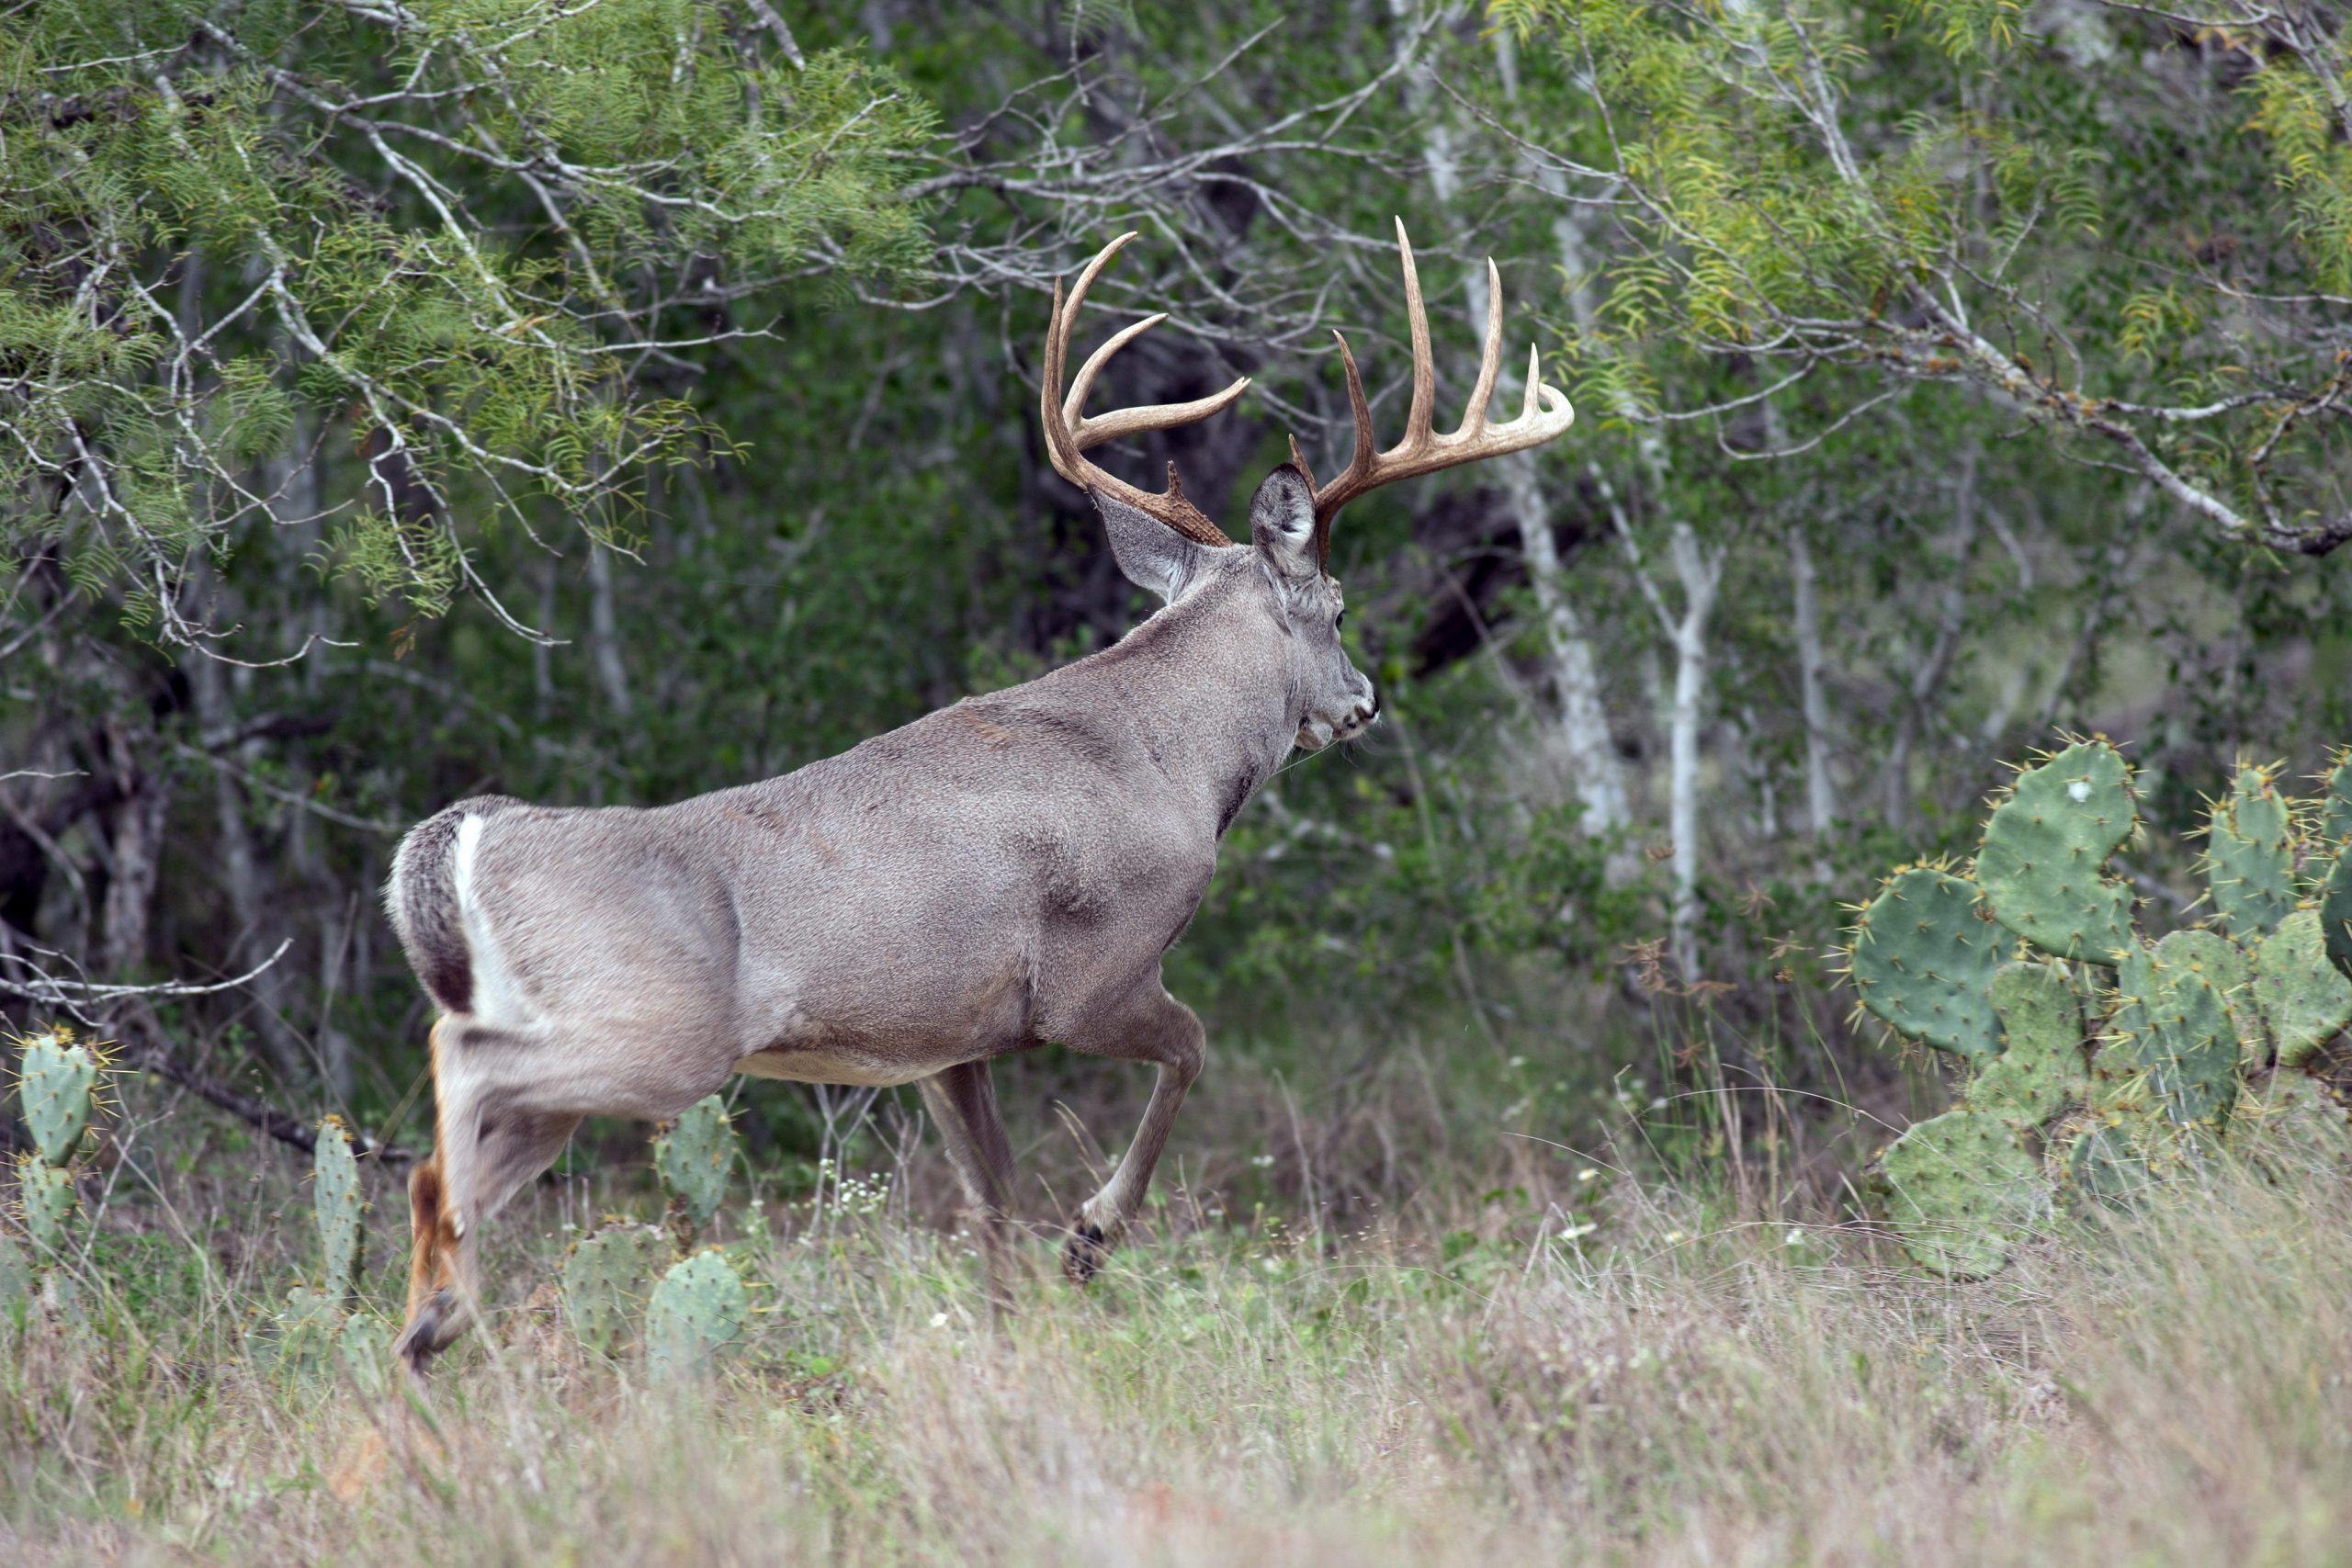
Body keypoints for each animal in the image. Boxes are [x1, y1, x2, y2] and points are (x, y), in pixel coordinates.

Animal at [390, 220, 1580, 1372]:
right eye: (1336, 608)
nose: (1365, 702)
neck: (1170, 759)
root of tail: (464, 840)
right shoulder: (1093, 976)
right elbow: (1191, 1049)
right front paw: (1093, 1235)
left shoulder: (947, 1044)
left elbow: (992, 1204)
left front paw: (1015, 1344)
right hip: (660, 1036)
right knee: (454, 1086)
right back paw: (442, 1310)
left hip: (589, 1067)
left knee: (446, 1159)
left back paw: (425, 1332)